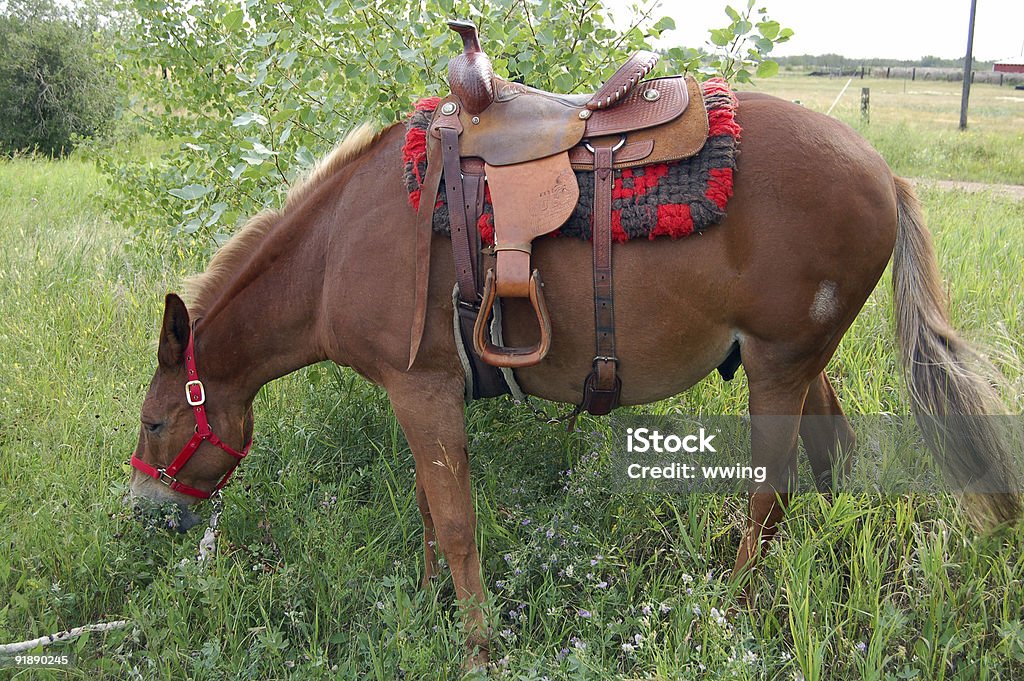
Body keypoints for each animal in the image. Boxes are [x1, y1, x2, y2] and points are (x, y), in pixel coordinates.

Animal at [132, 93, 1019, 659]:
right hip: (805, 365)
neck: (340, 244)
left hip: (778, 369)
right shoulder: (420, 391)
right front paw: (428, 601)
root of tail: (884, 171)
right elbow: (429, 510)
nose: (143, 512)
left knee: (768, 500)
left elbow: (455, 520)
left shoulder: (421, 388)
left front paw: (477, 645)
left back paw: (727, 615)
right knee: (832, 462)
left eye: (153, 422)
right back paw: (826, 573)